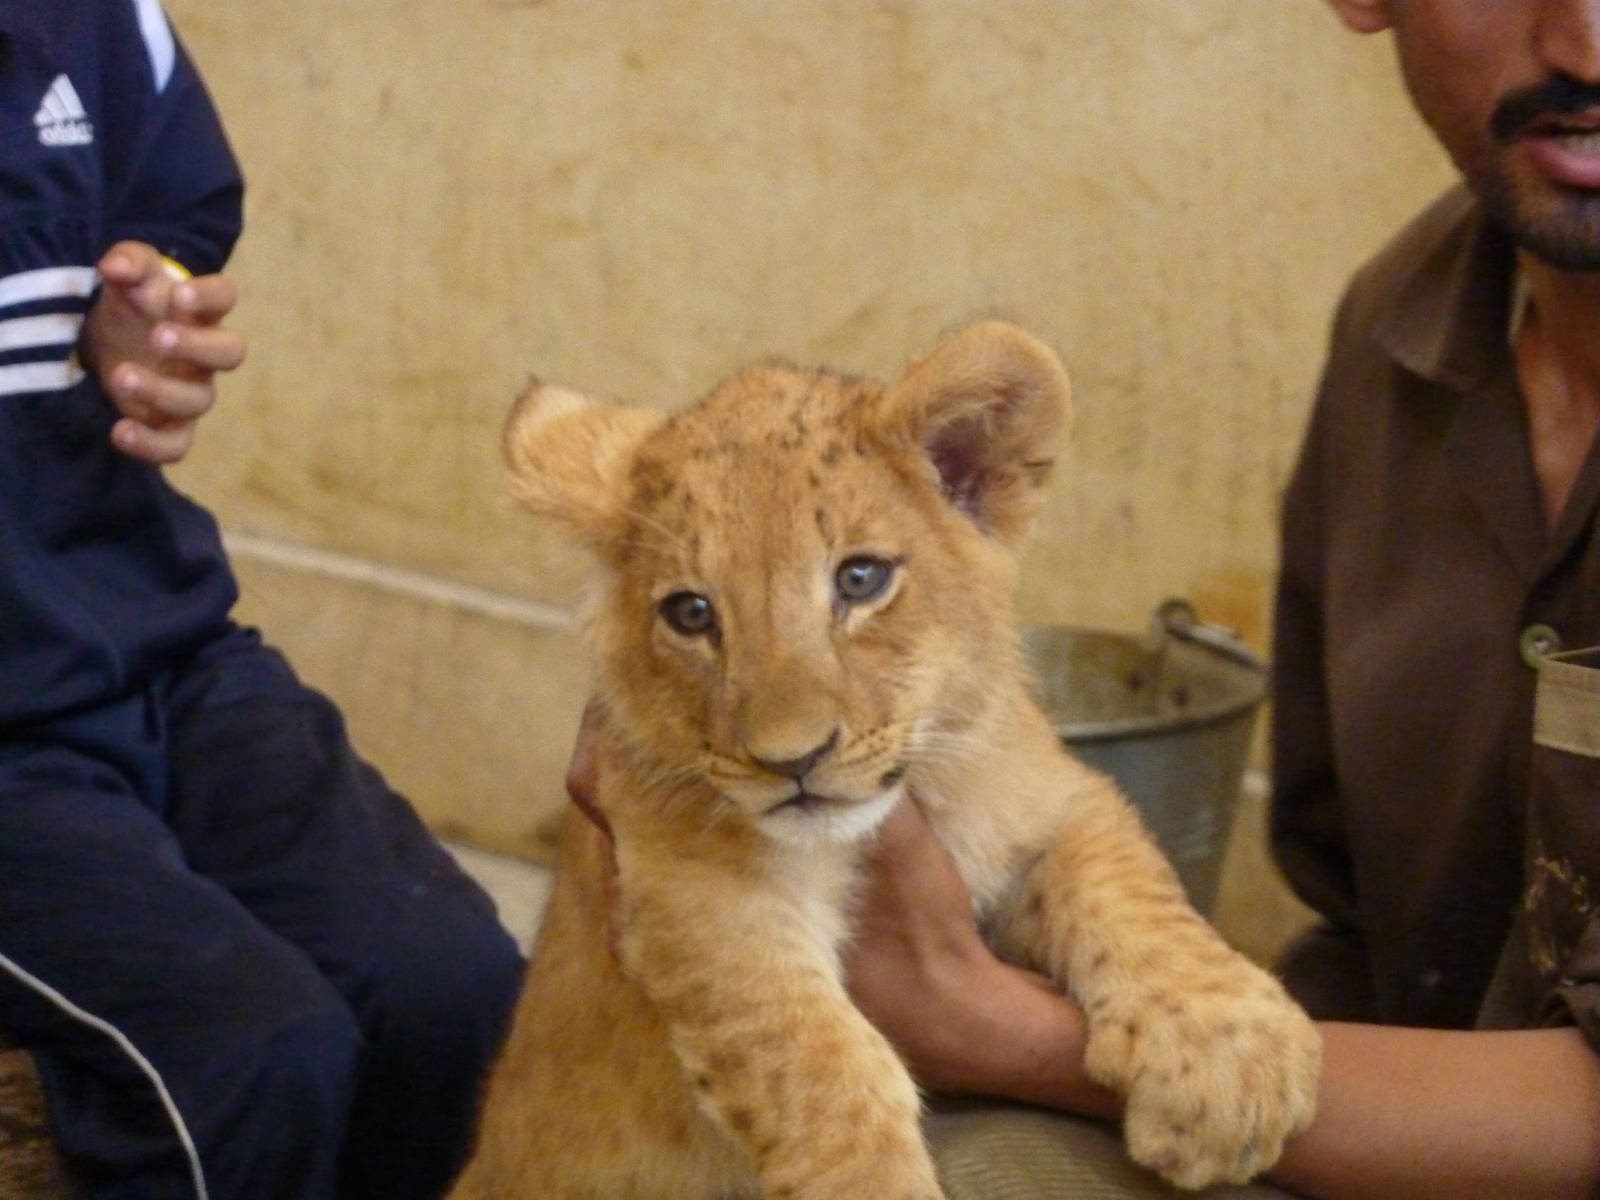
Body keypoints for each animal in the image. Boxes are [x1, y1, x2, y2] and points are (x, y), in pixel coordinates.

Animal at [450, 321, 1320, 1199]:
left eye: (860, 578)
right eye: (691, 613)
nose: (791, 759)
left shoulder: (1053, 794)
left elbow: (1131, 888)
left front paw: (1229, 1071)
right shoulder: (690, 889)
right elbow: (814, 1063)